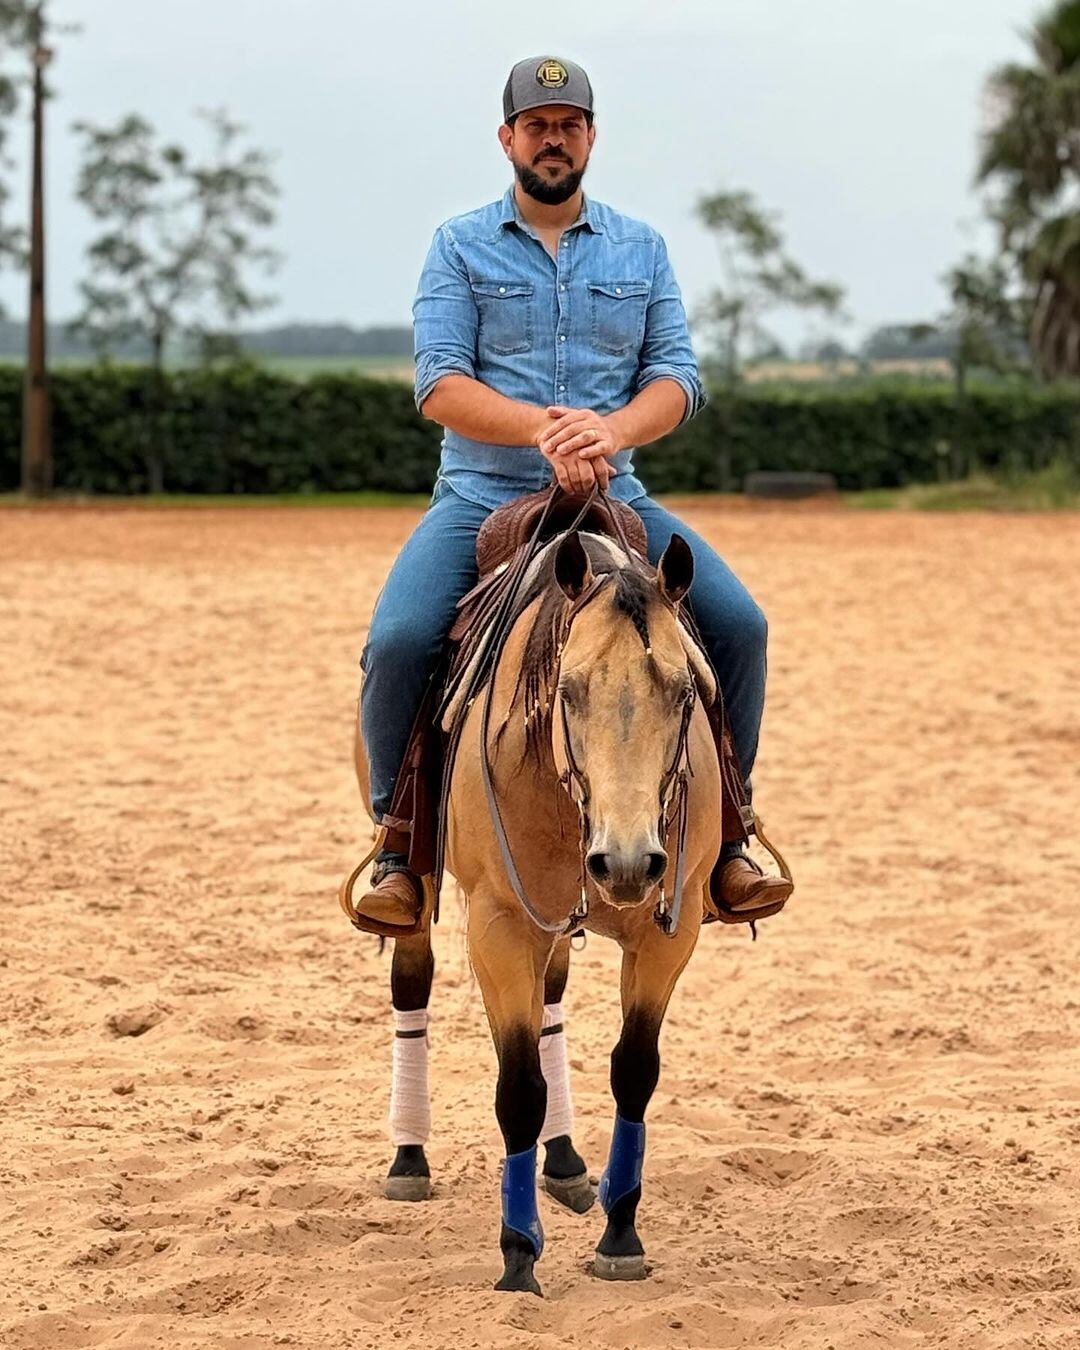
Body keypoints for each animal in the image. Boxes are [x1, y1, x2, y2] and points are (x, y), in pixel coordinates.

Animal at [349, 524, 721, 1296]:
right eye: (569, 689)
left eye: (683, 690)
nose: (628, 862)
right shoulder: (499, 926)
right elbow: (517, 1088)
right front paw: (519, 1255)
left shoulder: (669, 937)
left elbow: (635, 1072)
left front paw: (620, 1234)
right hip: (423, 886)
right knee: (411, 984)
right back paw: (409, 1158)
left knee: (553, 995)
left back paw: (567, 1160)